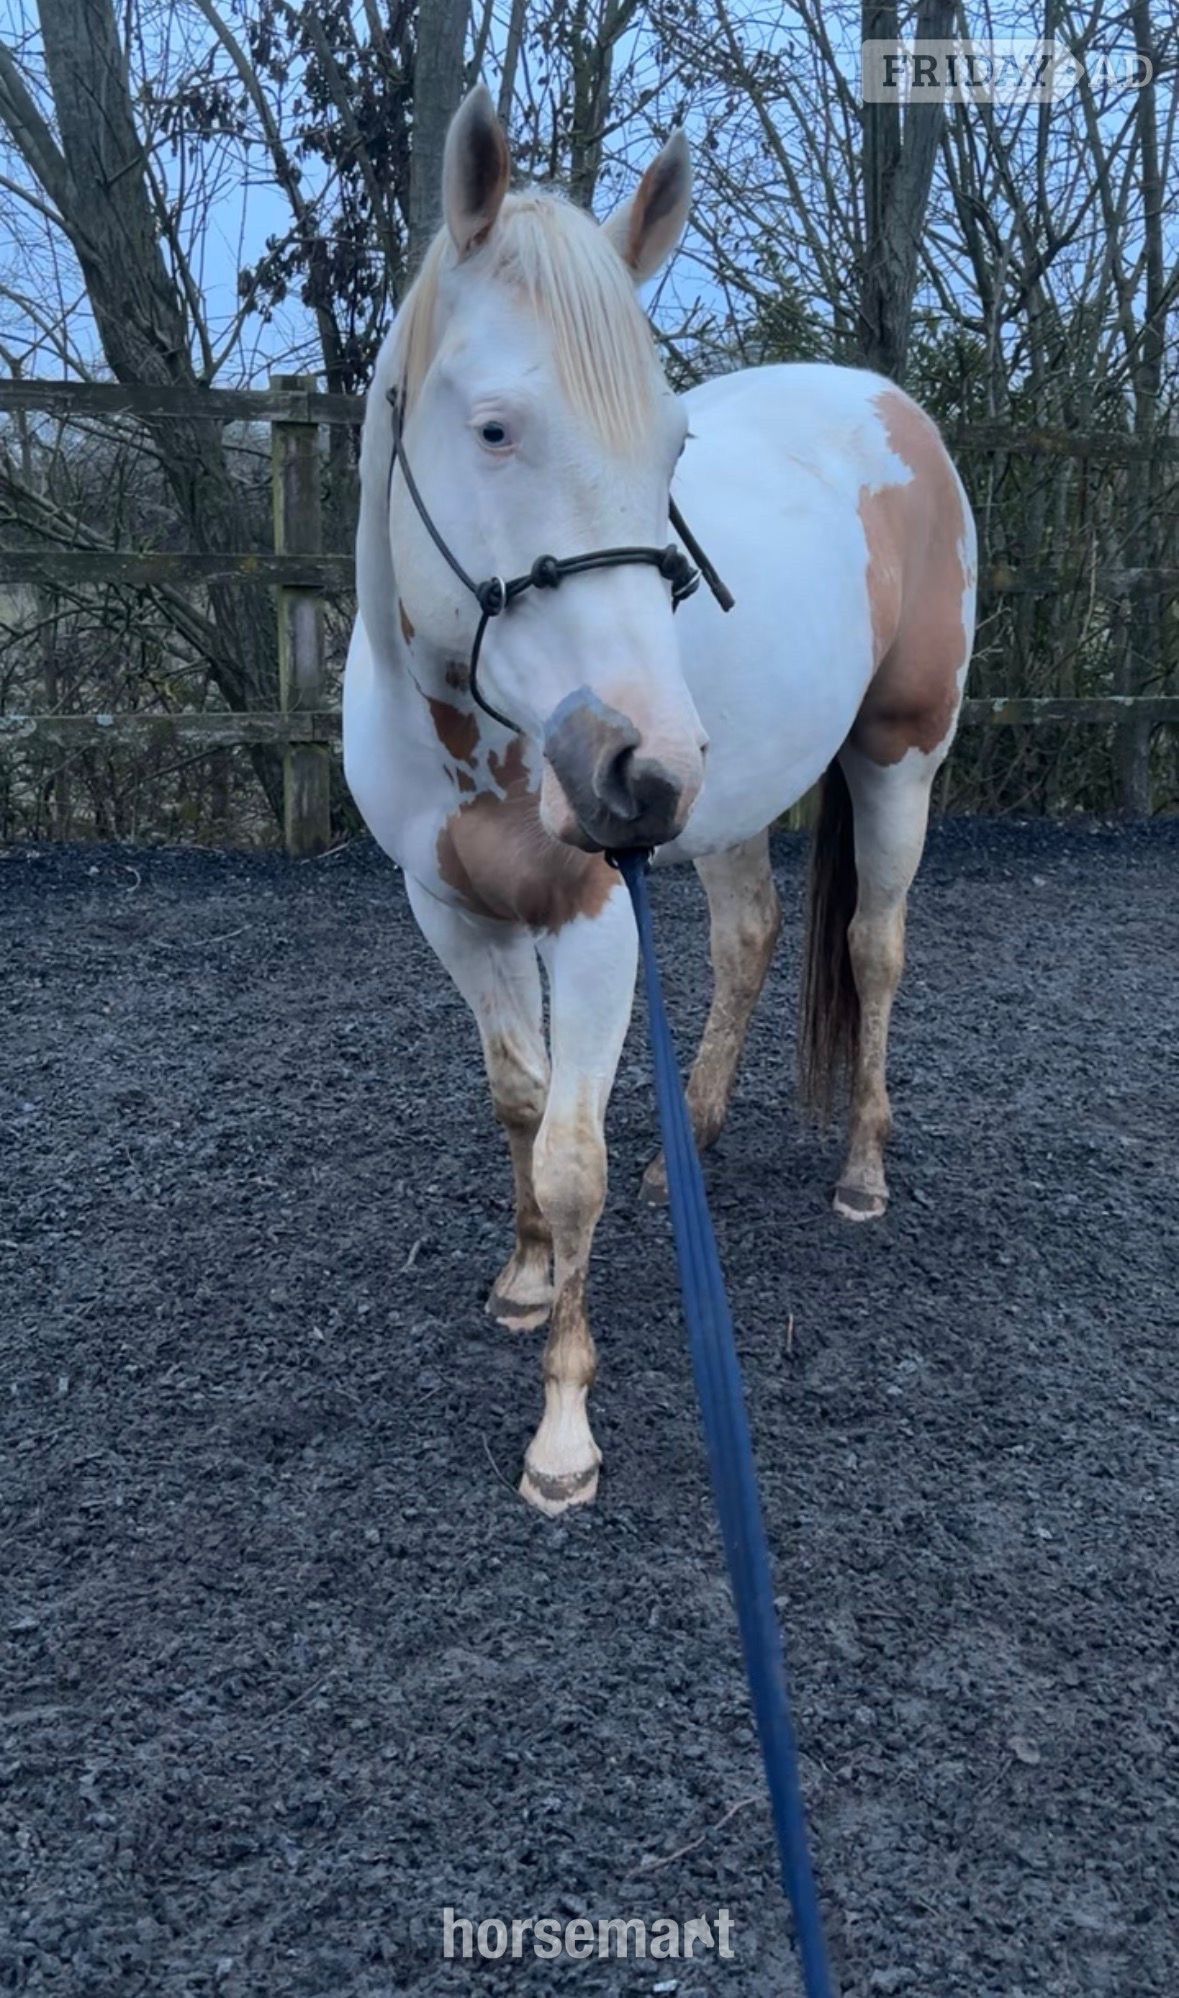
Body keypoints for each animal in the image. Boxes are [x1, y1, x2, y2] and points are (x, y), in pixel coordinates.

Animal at [343, 86, 977, 1516]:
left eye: (674, 444)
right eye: (495, 427)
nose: (637, 763)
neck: (479, 730)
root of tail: (886, 404)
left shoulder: (595, 922)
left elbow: (570, 1155)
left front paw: (563, 1437)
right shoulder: (447, 907)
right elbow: (518, 1099)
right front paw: (528, 1280)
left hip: (896, 762)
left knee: (876, 947)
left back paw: (863, 1173)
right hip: (725, 807)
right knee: (749, 938)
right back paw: (690, 1133)